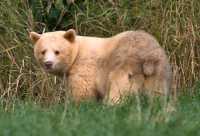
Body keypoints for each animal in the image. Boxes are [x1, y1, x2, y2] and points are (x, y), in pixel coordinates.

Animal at [29, 29, 172, 104]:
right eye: (43, 51)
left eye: (57, 51)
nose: (48, 63)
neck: (77, 52)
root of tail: (147, 56)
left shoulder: (85, 66)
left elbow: (82, 91)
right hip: (158, 71)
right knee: (157, 93)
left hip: (123, 67)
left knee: (118, 89)